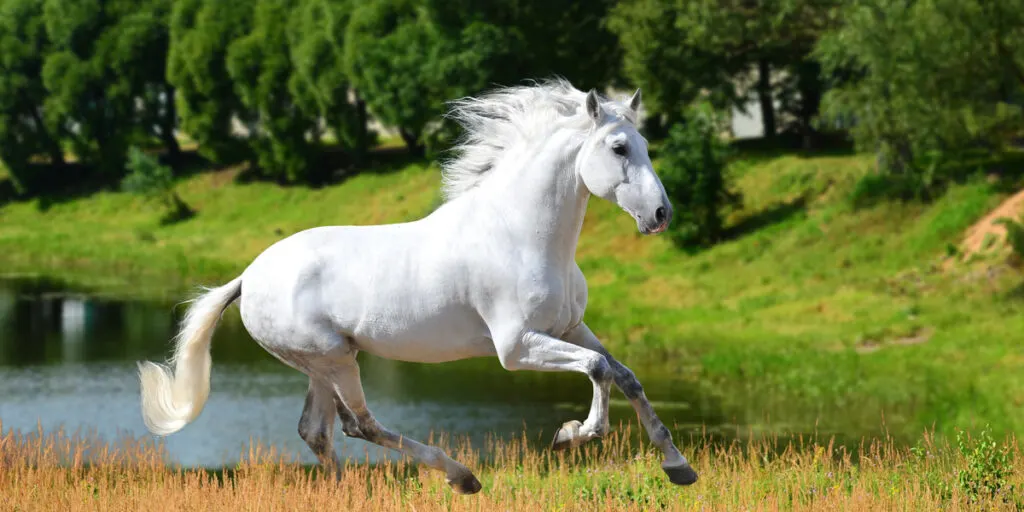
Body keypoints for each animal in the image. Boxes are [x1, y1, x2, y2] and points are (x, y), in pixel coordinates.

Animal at [136, 78, 696, 491]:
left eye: (646, 146)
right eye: (619, 147)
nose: (661, 215)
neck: (521, 234)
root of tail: (248, 277)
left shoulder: (571, 327)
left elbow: (626, 376)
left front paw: (678, 467)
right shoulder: (515, 347)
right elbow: (598, 371)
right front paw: (572, 434)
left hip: (321, 363)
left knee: (317, 431)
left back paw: (350, 491)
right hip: (333, 359)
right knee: (358, 424)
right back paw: (461, 476)